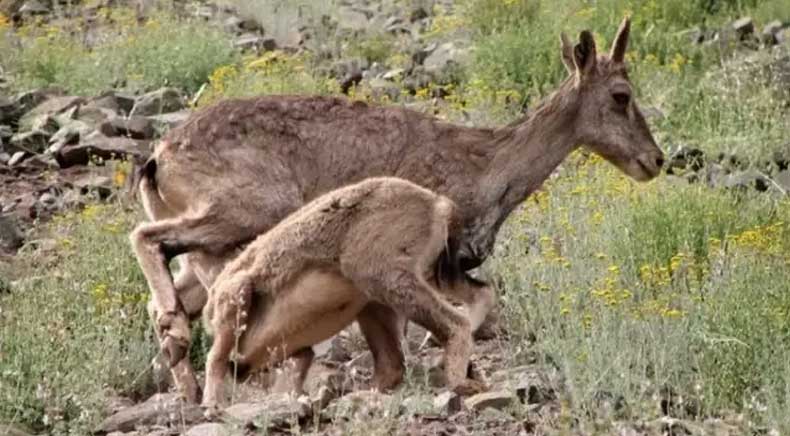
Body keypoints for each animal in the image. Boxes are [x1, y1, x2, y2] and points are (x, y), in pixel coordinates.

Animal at [201, 177, 492, 408]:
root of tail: (437, 205)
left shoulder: (235, 292)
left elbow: (215, 359)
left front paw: (212, 406)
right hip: (400, 288)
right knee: (478, 295)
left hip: (382, 276)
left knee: (455, 323)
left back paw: (459, 381)